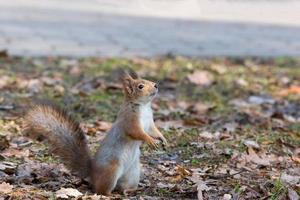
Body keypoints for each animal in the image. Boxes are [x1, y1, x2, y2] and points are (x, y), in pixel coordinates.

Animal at [24, 70, 168, 195]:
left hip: (133, 173)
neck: (143, 107)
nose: (156, 85)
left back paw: (132, 190)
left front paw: (163, 139)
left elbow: (154, 131)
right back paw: (110, 194)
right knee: (101, 190)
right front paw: (150, 140)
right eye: (140, 86)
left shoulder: (149, 123)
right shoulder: (130, 121)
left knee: (122, 187)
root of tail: (92, 173)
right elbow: (138, 133)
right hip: (111, 172)